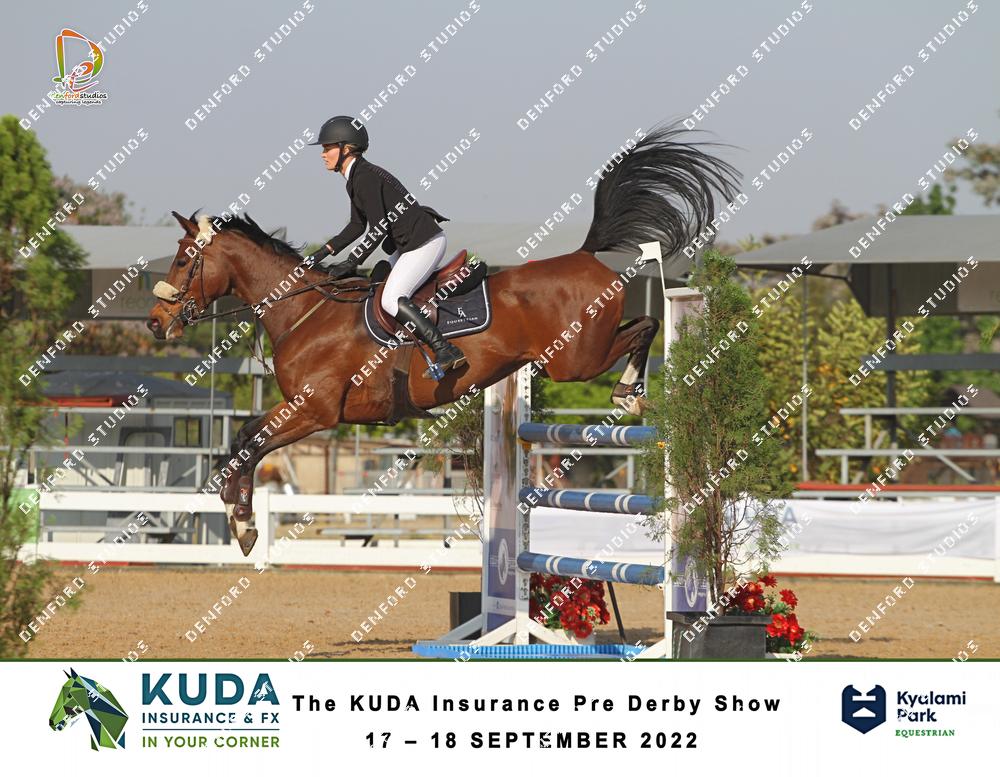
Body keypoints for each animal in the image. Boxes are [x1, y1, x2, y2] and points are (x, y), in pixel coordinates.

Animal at [146, 123, 739, 556]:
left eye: (183, 259)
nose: (154, 321)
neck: (305, 311)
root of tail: (587, 255)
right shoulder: (303, 409)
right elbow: (240, 443)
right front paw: (238, 518)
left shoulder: (315, 410)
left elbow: (247, 444)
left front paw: (243, 523)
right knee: (641, 328)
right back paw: (632, 390)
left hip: (575, 358)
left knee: (646, 327)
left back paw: (629, 391)